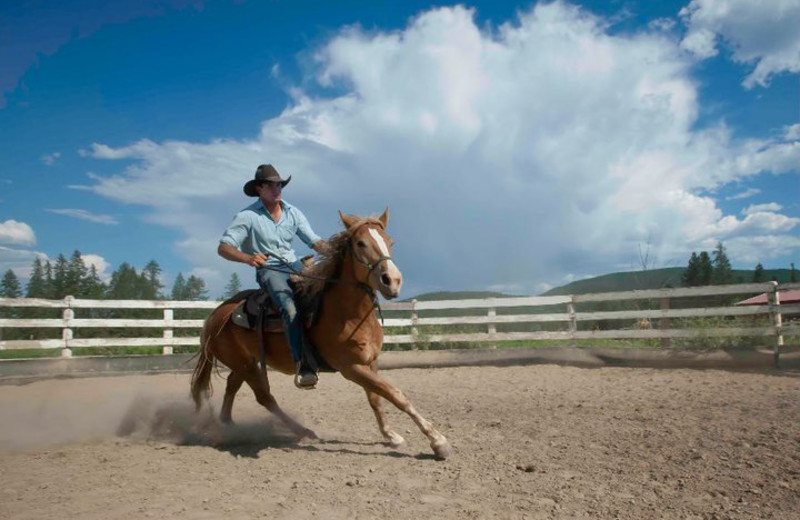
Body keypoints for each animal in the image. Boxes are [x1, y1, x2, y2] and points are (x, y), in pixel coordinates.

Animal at [188, 207, 450, 460]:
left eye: (390, 241)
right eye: (360, 243)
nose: (392, 281)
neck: (349, 314)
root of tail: (215, 316)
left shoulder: (371, 362)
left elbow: (376, 397)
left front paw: (391, 435)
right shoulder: (351, 367)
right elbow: (395, 394)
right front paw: (437, 442)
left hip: (245, 363)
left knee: (232, 386)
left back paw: (228, 426)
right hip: (246, 366)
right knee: (264, 396)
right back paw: (301, 431)